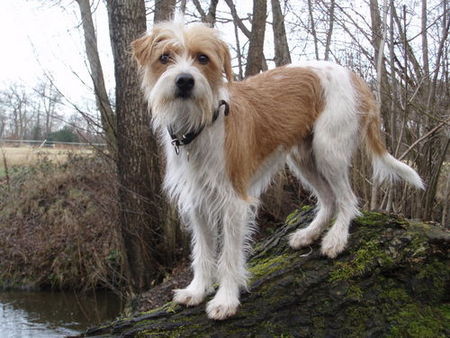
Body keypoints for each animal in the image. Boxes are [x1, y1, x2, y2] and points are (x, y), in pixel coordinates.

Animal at [131, 18, 426, 320]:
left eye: (203, 58)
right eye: (164, 57)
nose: (185, 80)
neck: (201, 123)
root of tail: (353, 75)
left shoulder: (234, 202)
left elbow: (229, 256)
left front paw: (226, 299)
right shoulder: (198, 202)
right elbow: (202, 252)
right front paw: (197, 290)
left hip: (328, 151)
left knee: (347, 199)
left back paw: (335, 239)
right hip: (303, 158)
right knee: (329, 199)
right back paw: (309, 234)